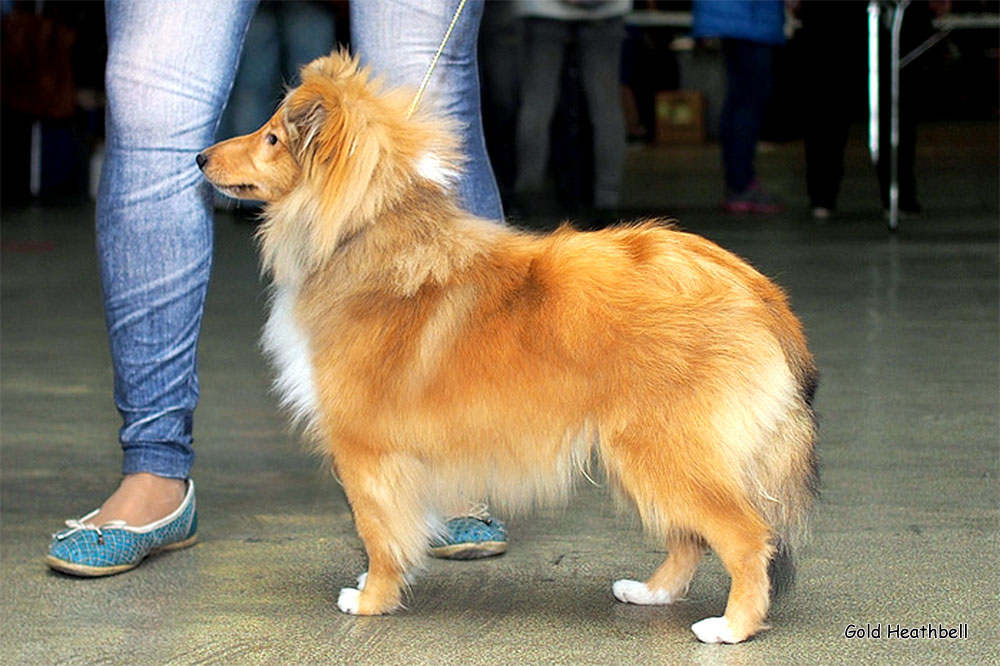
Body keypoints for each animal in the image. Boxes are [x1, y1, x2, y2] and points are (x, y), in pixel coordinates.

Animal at [199, 52, 816, 644]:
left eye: (272, 138)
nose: (201, 157)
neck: (363, 235)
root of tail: (757, 290)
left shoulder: (366, 450)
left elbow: (378, 532)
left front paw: (372, 599)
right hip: (646, 454)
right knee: (690, 537)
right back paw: (651, 592)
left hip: (663, 449)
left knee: (746, 537)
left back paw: (731, 628)